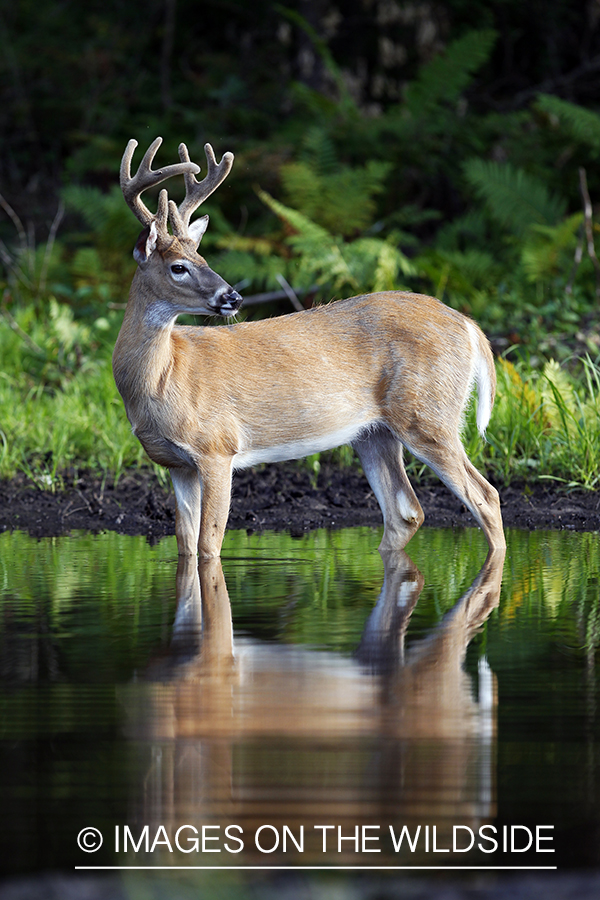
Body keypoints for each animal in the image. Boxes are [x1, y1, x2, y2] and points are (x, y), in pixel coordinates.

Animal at [113, 135, 506, 556]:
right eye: (179, 267)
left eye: (202, 257)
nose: (233, 296)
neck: (162, 379)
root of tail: (469, 326)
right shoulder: (176, 464)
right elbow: (186, 544)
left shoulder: (217, 447)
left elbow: (209, 544)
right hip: (374, 433)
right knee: (406, 511)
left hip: (429, 414)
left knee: (485, 496)